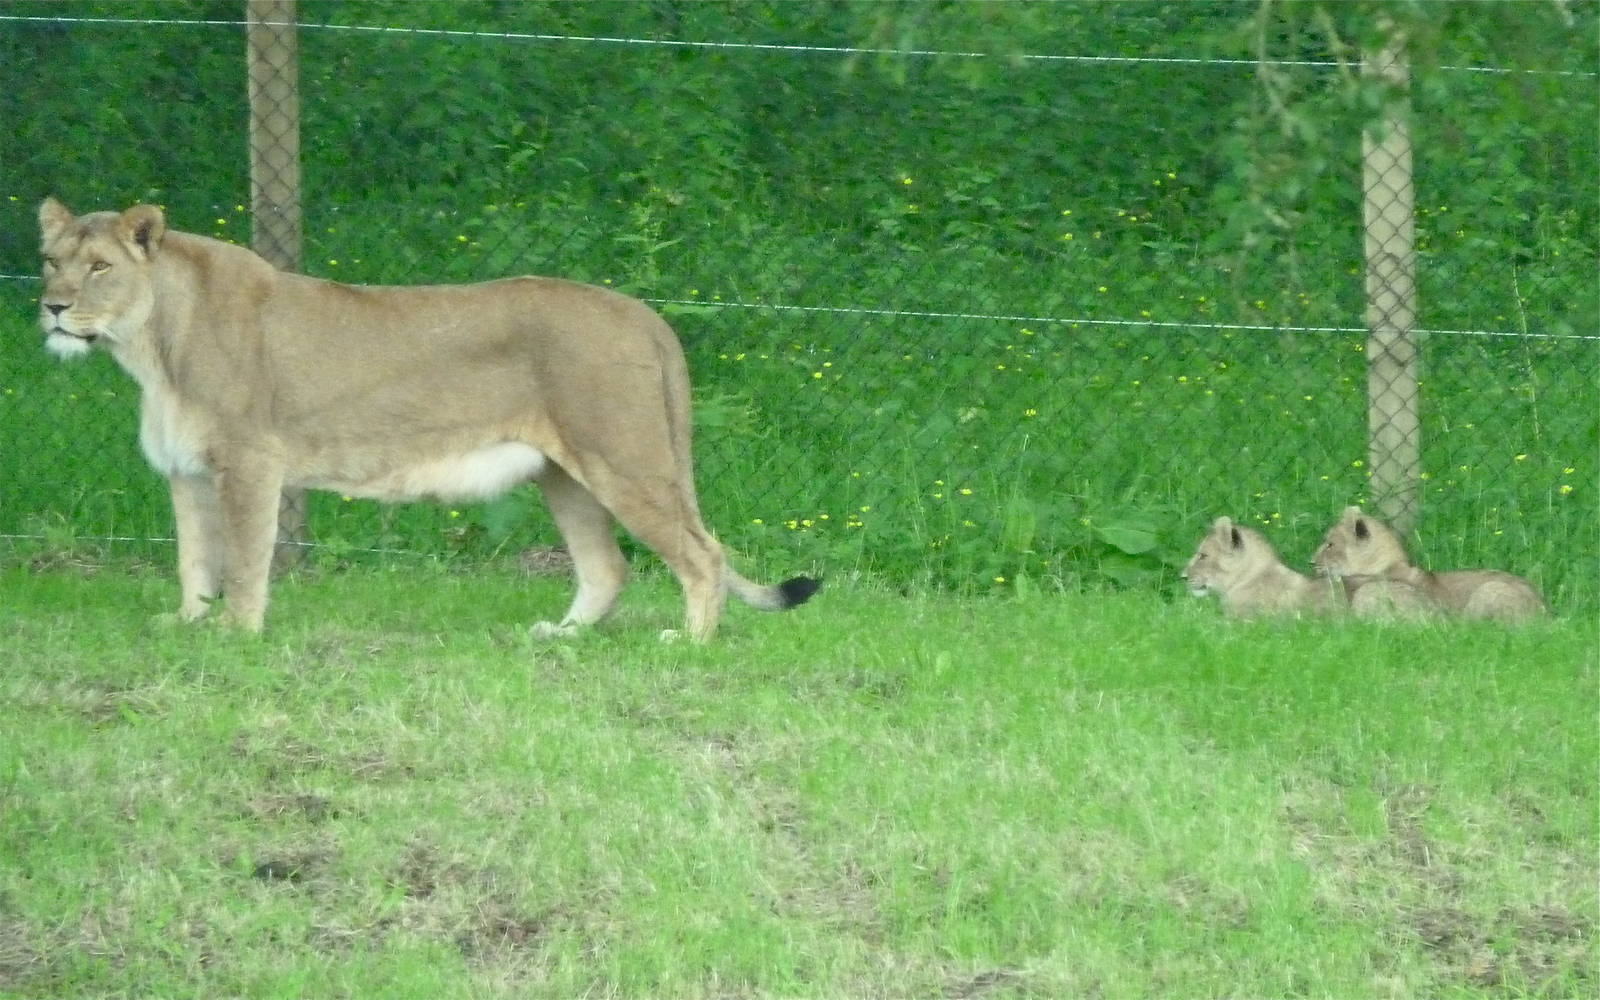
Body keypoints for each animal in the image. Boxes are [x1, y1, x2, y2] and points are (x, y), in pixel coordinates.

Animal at [36, 198, 818, 641]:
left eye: (100, 267)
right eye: (49, 260)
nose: (52, 307)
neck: (150, 345)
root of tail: (643, 314)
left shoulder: (251, 463)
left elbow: (247, 559)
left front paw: (237, 635)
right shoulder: (188, 472)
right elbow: (193, 557)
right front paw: (188, 624)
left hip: (624, 461)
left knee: (702, 555)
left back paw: (691, 644)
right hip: (565, 477)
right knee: (609, 566)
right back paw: (562, 636)